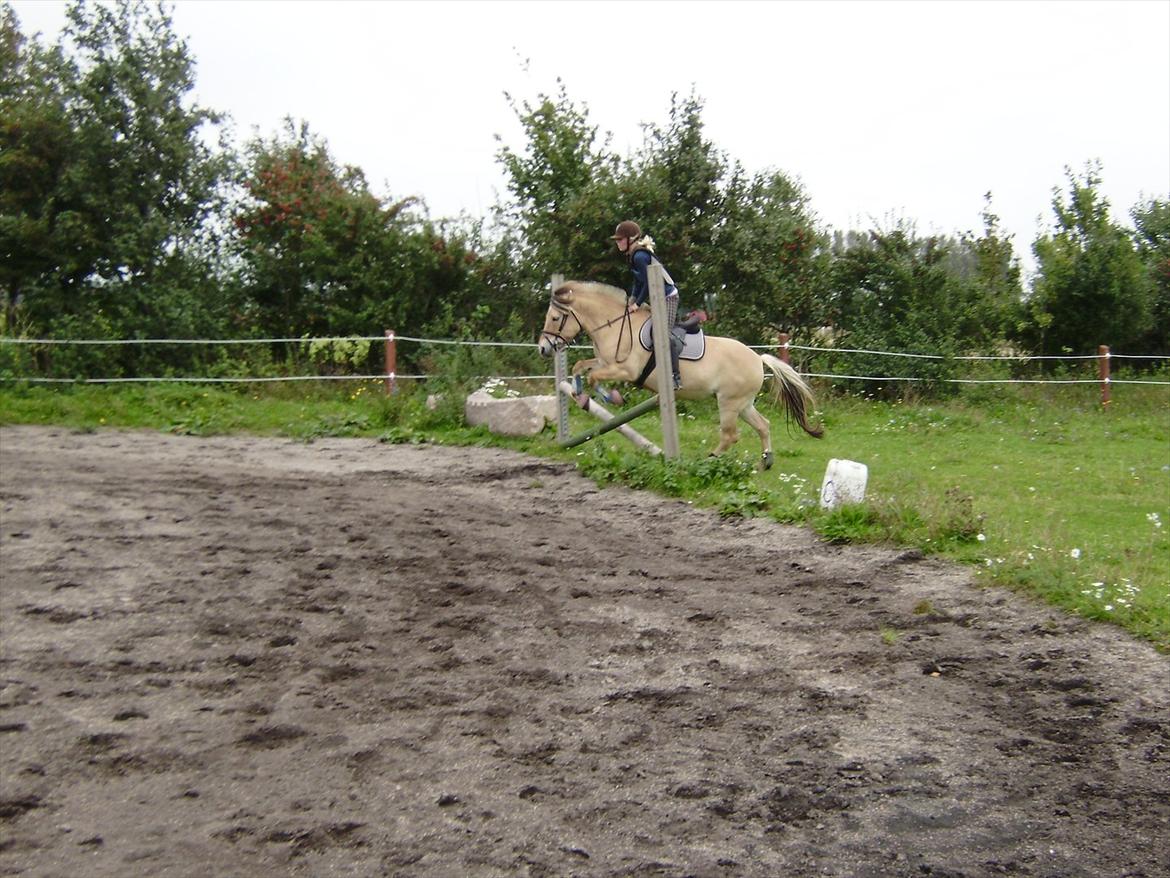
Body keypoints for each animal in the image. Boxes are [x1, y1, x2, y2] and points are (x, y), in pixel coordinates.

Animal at [538, 285, 823, 470]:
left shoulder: (626, 370)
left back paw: (710, 459)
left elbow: (595, 378)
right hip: (743, 404)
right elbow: (580, 367)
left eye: (555, 318)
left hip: (729, 402)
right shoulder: (606, 362)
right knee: (763, 425)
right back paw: (766, 461)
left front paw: (609, 398)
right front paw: (579, 395)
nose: (543, 348)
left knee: (730, 435)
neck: (615, 325)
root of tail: (757, 358)